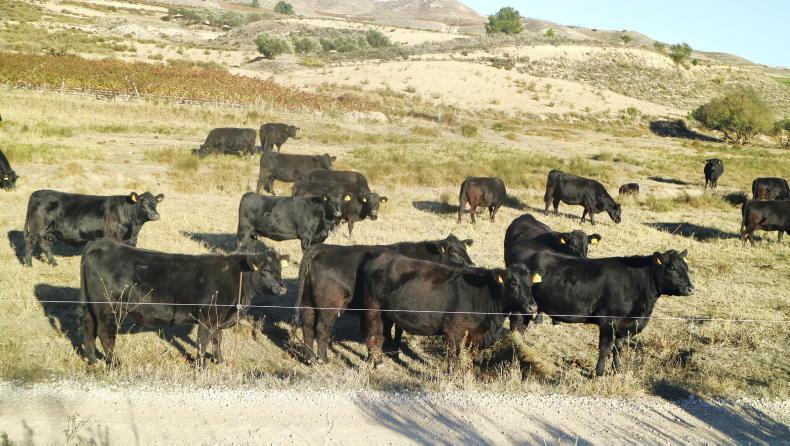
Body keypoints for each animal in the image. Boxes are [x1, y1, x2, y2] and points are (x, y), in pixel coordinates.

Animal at [23, 190, 164, 267]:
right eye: (143, 203)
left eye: (155, 203)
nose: (156, 215)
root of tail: (37, 192)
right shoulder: (113, 238)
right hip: (36, 229)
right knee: (30, 243)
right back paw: (28, 264)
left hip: (47, 232)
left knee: (45, 245)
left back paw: (54, 264)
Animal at [80, 238, 288, 367]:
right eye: (266, 269)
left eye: (280, 269)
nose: (283, 288)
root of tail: (101, 243)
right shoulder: (207, 317)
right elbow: (203, 342)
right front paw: (201, 366)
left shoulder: (219, 318)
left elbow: (217, 340)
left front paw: (220, 361)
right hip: (107, 308)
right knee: (105, 334)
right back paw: (115, 363)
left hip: (90, 307)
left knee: (89, 329)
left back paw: (92, 361)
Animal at [294, 235, 475, 363]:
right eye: (453, 251)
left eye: (465, 248)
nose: (471, 265)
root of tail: (321, 247)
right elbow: (396, 329)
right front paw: (392, 349)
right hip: (329, 306)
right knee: (321, 329)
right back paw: (324, 360)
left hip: (307, 303)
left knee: (307, 328)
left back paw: (309, 359)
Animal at [360, 251, 539, 372]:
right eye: (514, 283)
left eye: (531, 284)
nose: (533, 307)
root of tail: (381, 255)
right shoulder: (454, 332)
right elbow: (452, 356)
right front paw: (450, 374)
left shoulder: (480, 336)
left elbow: (478, 358)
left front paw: (476, 376)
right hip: (373, 309)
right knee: (373, 334)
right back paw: (375, 361)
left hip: (386, 313)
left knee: (382, 334)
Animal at [522, 249, 694, 376]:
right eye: (672, 268)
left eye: (686, 268)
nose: (691, 288)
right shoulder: (607, 320)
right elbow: (605, 347)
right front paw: (599, 372)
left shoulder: (624, 325)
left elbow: (618, 348)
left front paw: (617, 370)